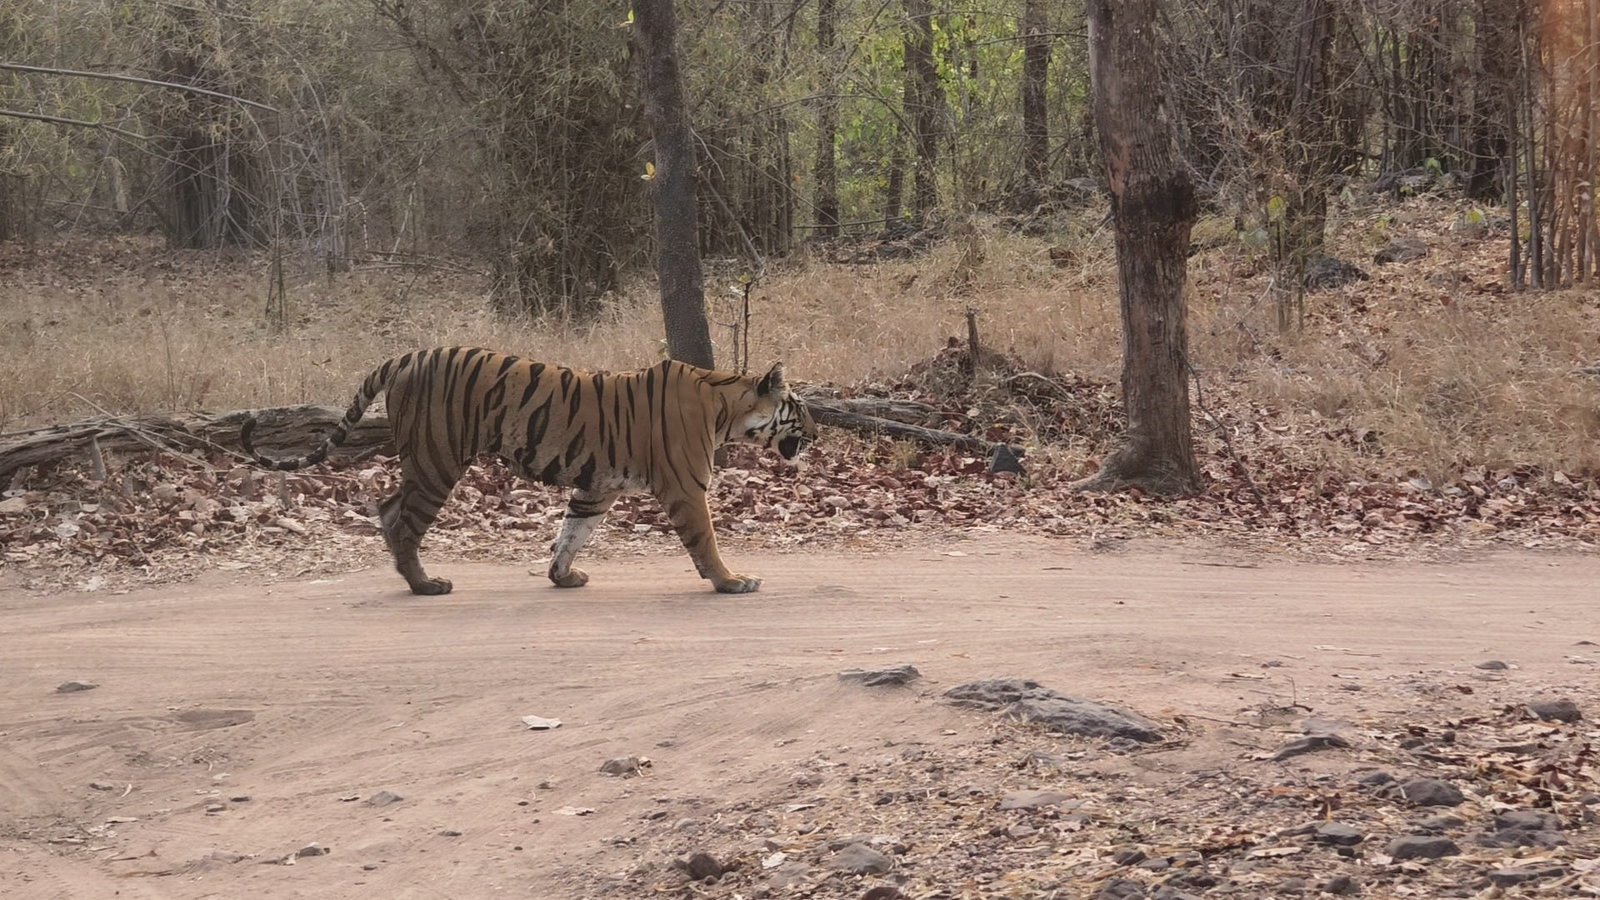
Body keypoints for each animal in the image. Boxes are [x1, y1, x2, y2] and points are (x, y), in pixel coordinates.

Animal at [240, 347, 817, 595]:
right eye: (800, 407)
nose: (815, 433)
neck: (727, 408)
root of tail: (405, 356)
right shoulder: (685, 487)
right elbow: (707, 542)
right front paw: (732, 581)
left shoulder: (596, 488)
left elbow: (571, 534)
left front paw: (564, 576)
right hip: (437, 459)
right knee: (402, 520)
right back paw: (425, 585)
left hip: (427, 461)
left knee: (387, 508)